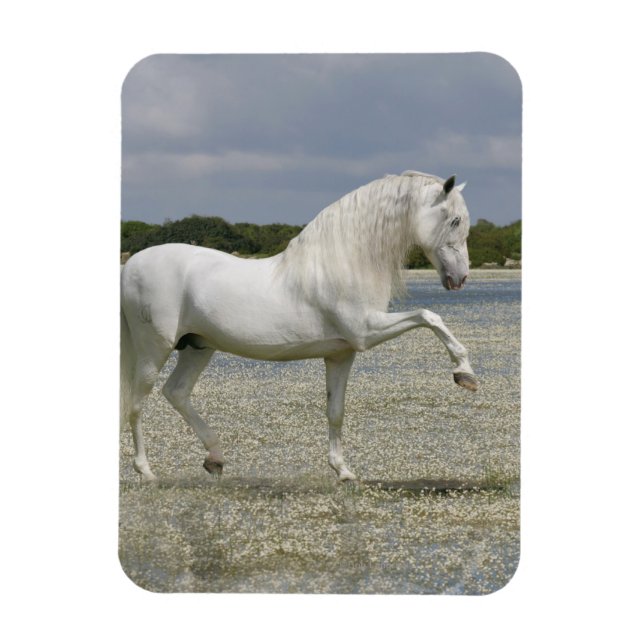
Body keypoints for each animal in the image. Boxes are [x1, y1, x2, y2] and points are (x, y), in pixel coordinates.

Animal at [120, 171, 478, 482]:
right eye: (455, 220)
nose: (460, 278)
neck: (345, 262)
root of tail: (131, 265)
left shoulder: (342, 354)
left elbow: (335, 411)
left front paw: (343, 471)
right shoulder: (366, 331)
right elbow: (429, 316)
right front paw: (465, 373)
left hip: (198, 347)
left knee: (176, 392)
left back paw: (215, 458)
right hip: (155, 350)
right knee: (137, 403)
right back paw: (147, 472)